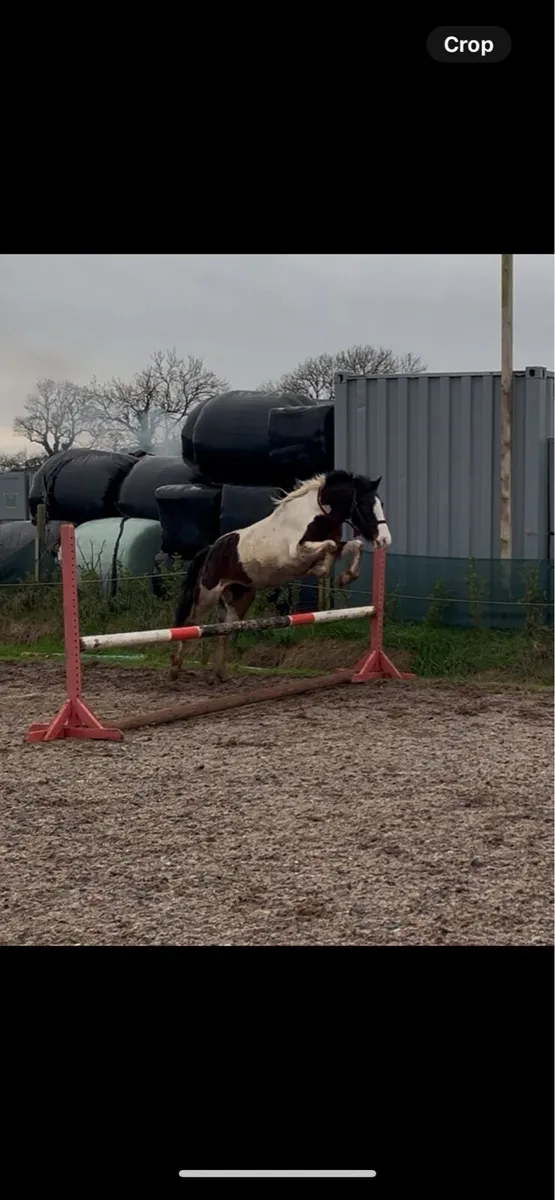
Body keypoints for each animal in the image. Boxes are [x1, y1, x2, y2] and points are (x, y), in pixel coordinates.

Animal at [169, 468, 391, 681]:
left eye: (381, 503)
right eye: (364, 504)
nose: (384, 540)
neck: (315, 516)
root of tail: (211, 549)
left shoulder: (334, 545)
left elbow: (354, 545)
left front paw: (345, 576)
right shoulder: (297, 553)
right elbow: (329, 547)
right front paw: (321, 570)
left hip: (240, 598)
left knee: (225, 629)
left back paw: (220, 673)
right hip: (207, 594)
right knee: (189, 623)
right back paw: (175, 668)